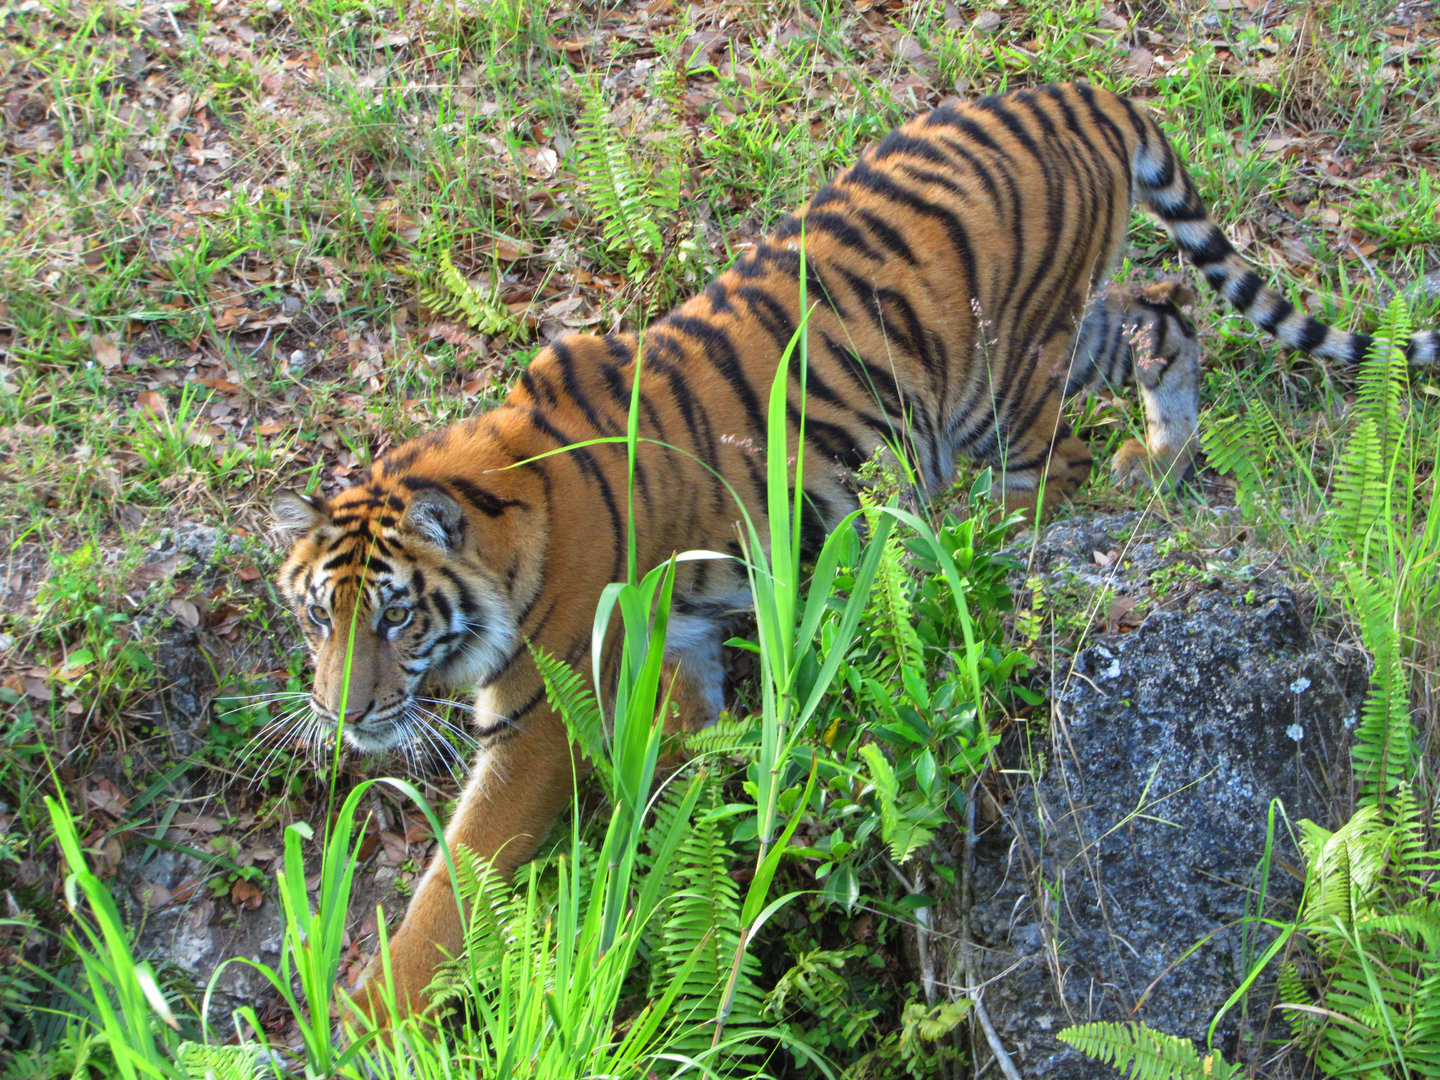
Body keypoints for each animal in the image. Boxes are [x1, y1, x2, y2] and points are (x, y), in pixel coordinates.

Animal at [270, 82, 1438, 1027]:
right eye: (317, 616)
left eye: (395, 616)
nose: (340, 713)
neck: (506, 510)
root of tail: (1083, 92)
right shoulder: (674, 645)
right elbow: (696, 768)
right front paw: (711, 871)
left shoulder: (538, 721)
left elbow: (450, 892)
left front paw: (361, 1026)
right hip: (1059, 341)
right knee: (1163, 313)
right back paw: (1159, 455)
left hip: (999, 380)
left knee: (1050, 465)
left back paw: (982, 544)